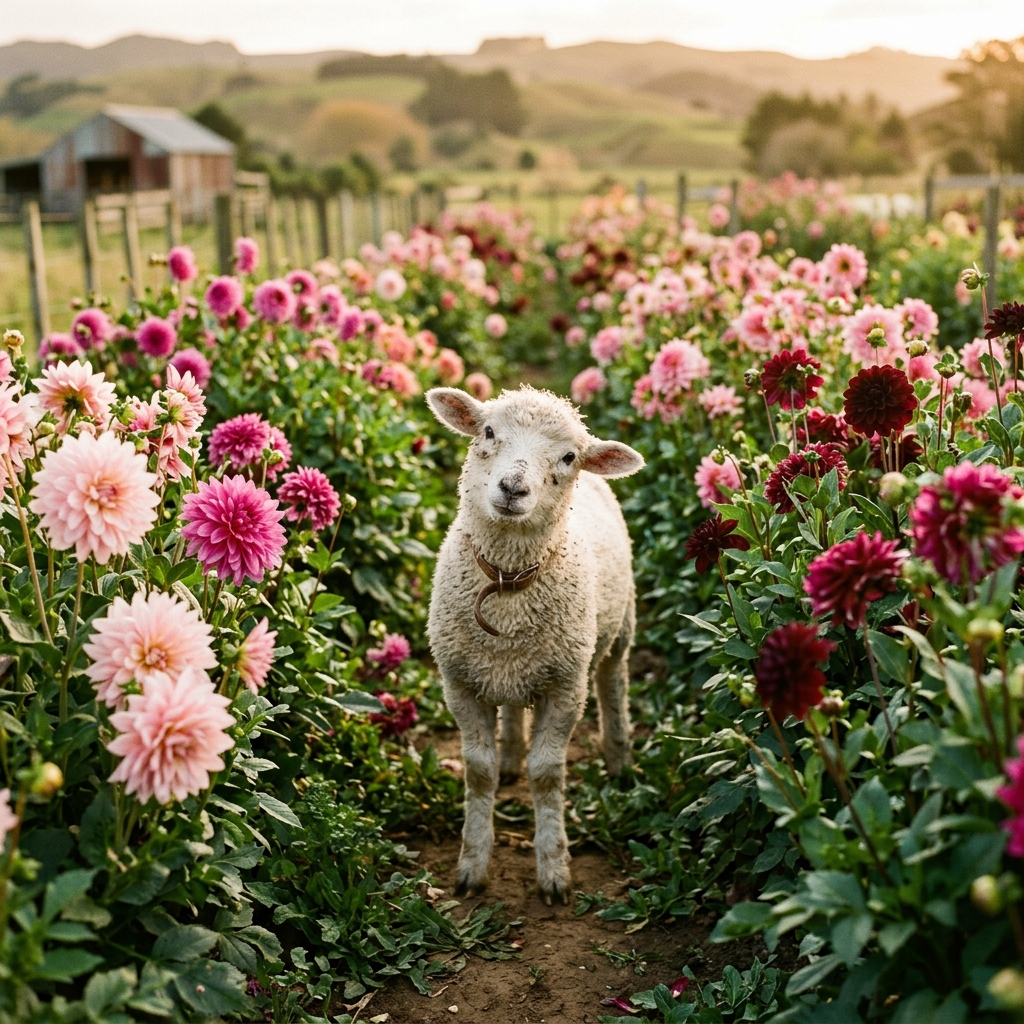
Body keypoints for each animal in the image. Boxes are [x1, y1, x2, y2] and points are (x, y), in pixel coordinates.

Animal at [425, 385, 645, 903]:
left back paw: (620, 762)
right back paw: (509, 757)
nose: (512, 489)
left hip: (619, 629)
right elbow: (478, 772)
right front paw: (471, 866)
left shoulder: (566, 688)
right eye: (487, 431)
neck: (506, 586)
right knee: (509, 710)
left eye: (568, 457)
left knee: (614, 685)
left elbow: (547, 775)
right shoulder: (459, 683)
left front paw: (554, 870)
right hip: (506, 668)